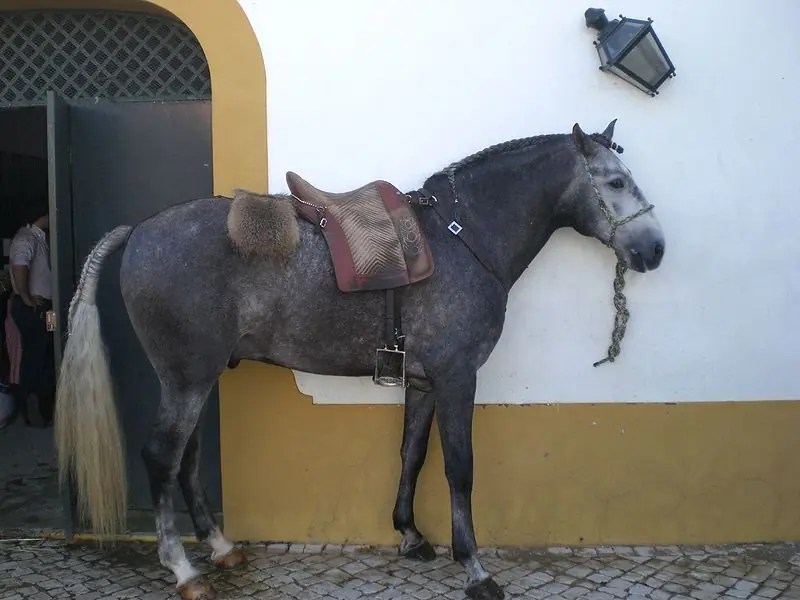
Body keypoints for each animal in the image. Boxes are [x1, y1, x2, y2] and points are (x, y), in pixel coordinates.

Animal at [54, 119, 665, 600]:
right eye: (615, 181)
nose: (655, 248)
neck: (462, 238)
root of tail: (140, 230)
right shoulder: (458, 378)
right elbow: (460, 468)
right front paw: (474, 569)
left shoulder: (425, 382)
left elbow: (413, 454)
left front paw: (411, 535)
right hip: (185, 380)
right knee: (162, 458)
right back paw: (183, 571)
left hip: (197, 381)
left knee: (186, 460)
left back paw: (222, 548)